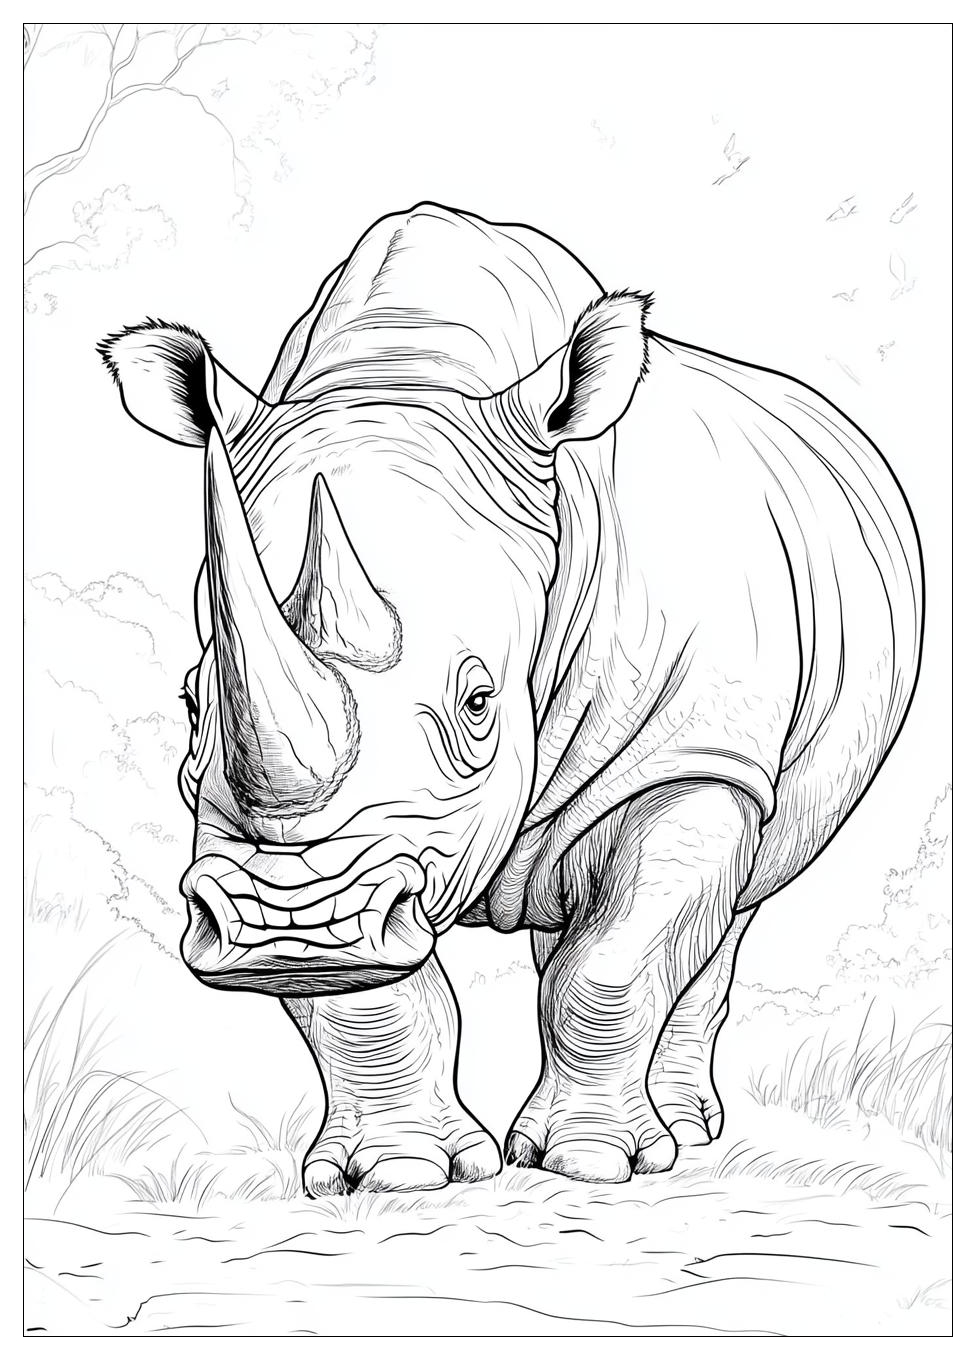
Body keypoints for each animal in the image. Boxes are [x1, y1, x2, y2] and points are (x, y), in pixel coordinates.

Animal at [99, 202, 923, 1190]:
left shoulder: (695, 751)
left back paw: (685, 1135)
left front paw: (590, 1164)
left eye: (480, 704)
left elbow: (615, 959)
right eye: (190, 704)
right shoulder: (328, 851)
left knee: (735, 899)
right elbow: (369, 997)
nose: (291, 924)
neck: (403, 373)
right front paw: (398, 1175)